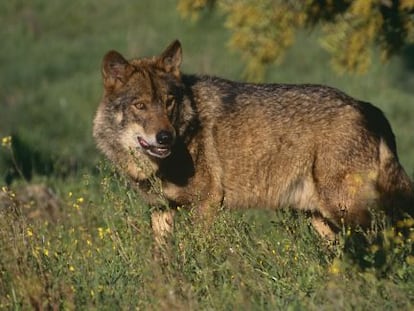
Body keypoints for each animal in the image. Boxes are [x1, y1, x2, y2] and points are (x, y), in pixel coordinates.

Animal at [92, 40, 412, 243]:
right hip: (318, 217)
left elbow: (195, 252)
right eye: (141, 106)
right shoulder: (160, 211)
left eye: (169, 102)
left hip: (344, 211)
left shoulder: (207, 204)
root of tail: (364, 105)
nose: (165, 136)